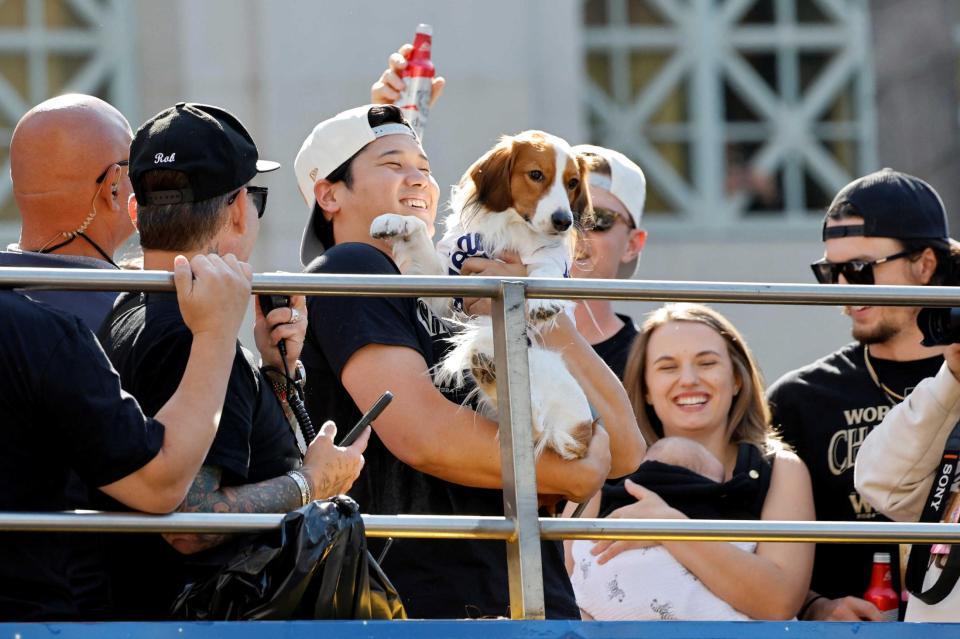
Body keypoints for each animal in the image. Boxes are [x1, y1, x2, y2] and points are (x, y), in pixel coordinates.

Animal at [372, 130, 596, 460]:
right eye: (536, 175)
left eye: (572, 182)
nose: (563, 221)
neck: (511, 226)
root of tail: (582, 434)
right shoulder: (447, 293)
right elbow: (418, 231)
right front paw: (394, 220)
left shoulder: (548, 259)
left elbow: (546, 268)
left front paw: (544, 302)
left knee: (533, 427)